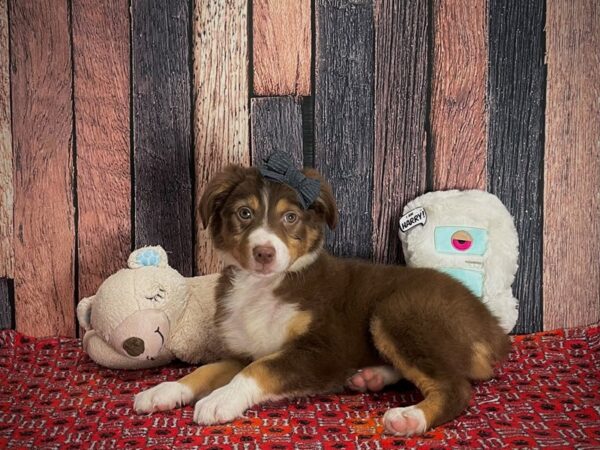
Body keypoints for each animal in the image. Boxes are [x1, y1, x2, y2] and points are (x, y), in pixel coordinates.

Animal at [134, 165, 508, 436]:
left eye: (290, 217)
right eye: (244, 214)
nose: (264, 253)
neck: (264, 286)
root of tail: (492, 326)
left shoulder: (323, 351)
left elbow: (262, 368)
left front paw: (221, 399)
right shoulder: (243, 350)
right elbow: (208, 369)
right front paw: (165, 390)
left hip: (399, 310)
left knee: (455, 386)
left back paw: (410, 417)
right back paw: (370, 377)